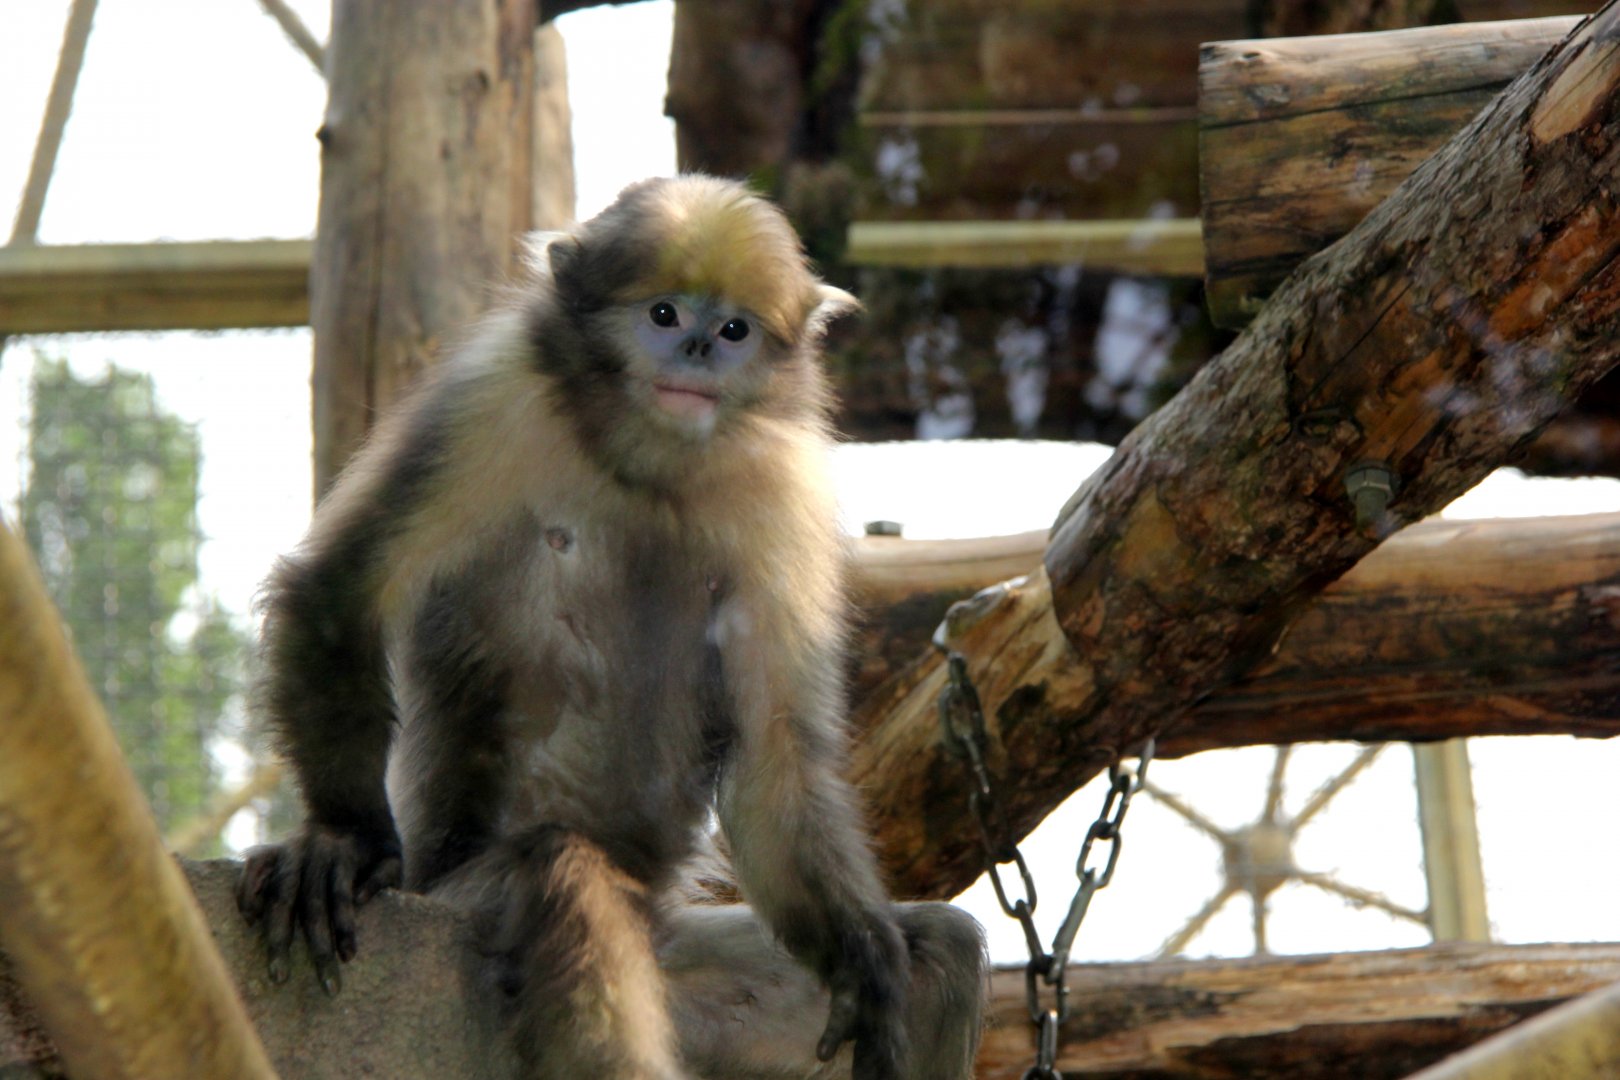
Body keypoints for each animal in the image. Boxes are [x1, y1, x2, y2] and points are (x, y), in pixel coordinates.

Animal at [234, 175, 986, 1080]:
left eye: (733, 329)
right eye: (663, 314)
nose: (695, 350)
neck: (647, 463)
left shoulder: (788, 478)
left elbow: (775, 745)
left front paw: (863, 957)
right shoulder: (492, 393)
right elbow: (340, 589)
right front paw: (343, 838)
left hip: (695, 986)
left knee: (944, 951)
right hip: (461, 902)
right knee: (562, 876)